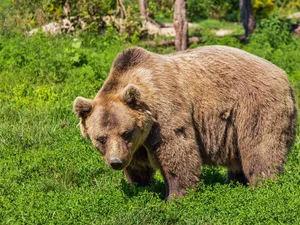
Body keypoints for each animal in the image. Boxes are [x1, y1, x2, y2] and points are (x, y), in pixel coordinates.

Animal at [72, 45, 298, 200]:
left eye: (126, 132)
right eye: (101, 138)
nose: (116, 162)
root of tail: (284, 75)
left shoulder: (165, 112)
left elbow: (177, 151)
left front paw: (175, 196)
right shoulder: (137, 144)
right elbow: (138, 165)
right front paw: (140, 186)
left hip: (255, 107)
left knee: (260, 148)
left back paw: (263, 186)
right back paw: (234, 182)